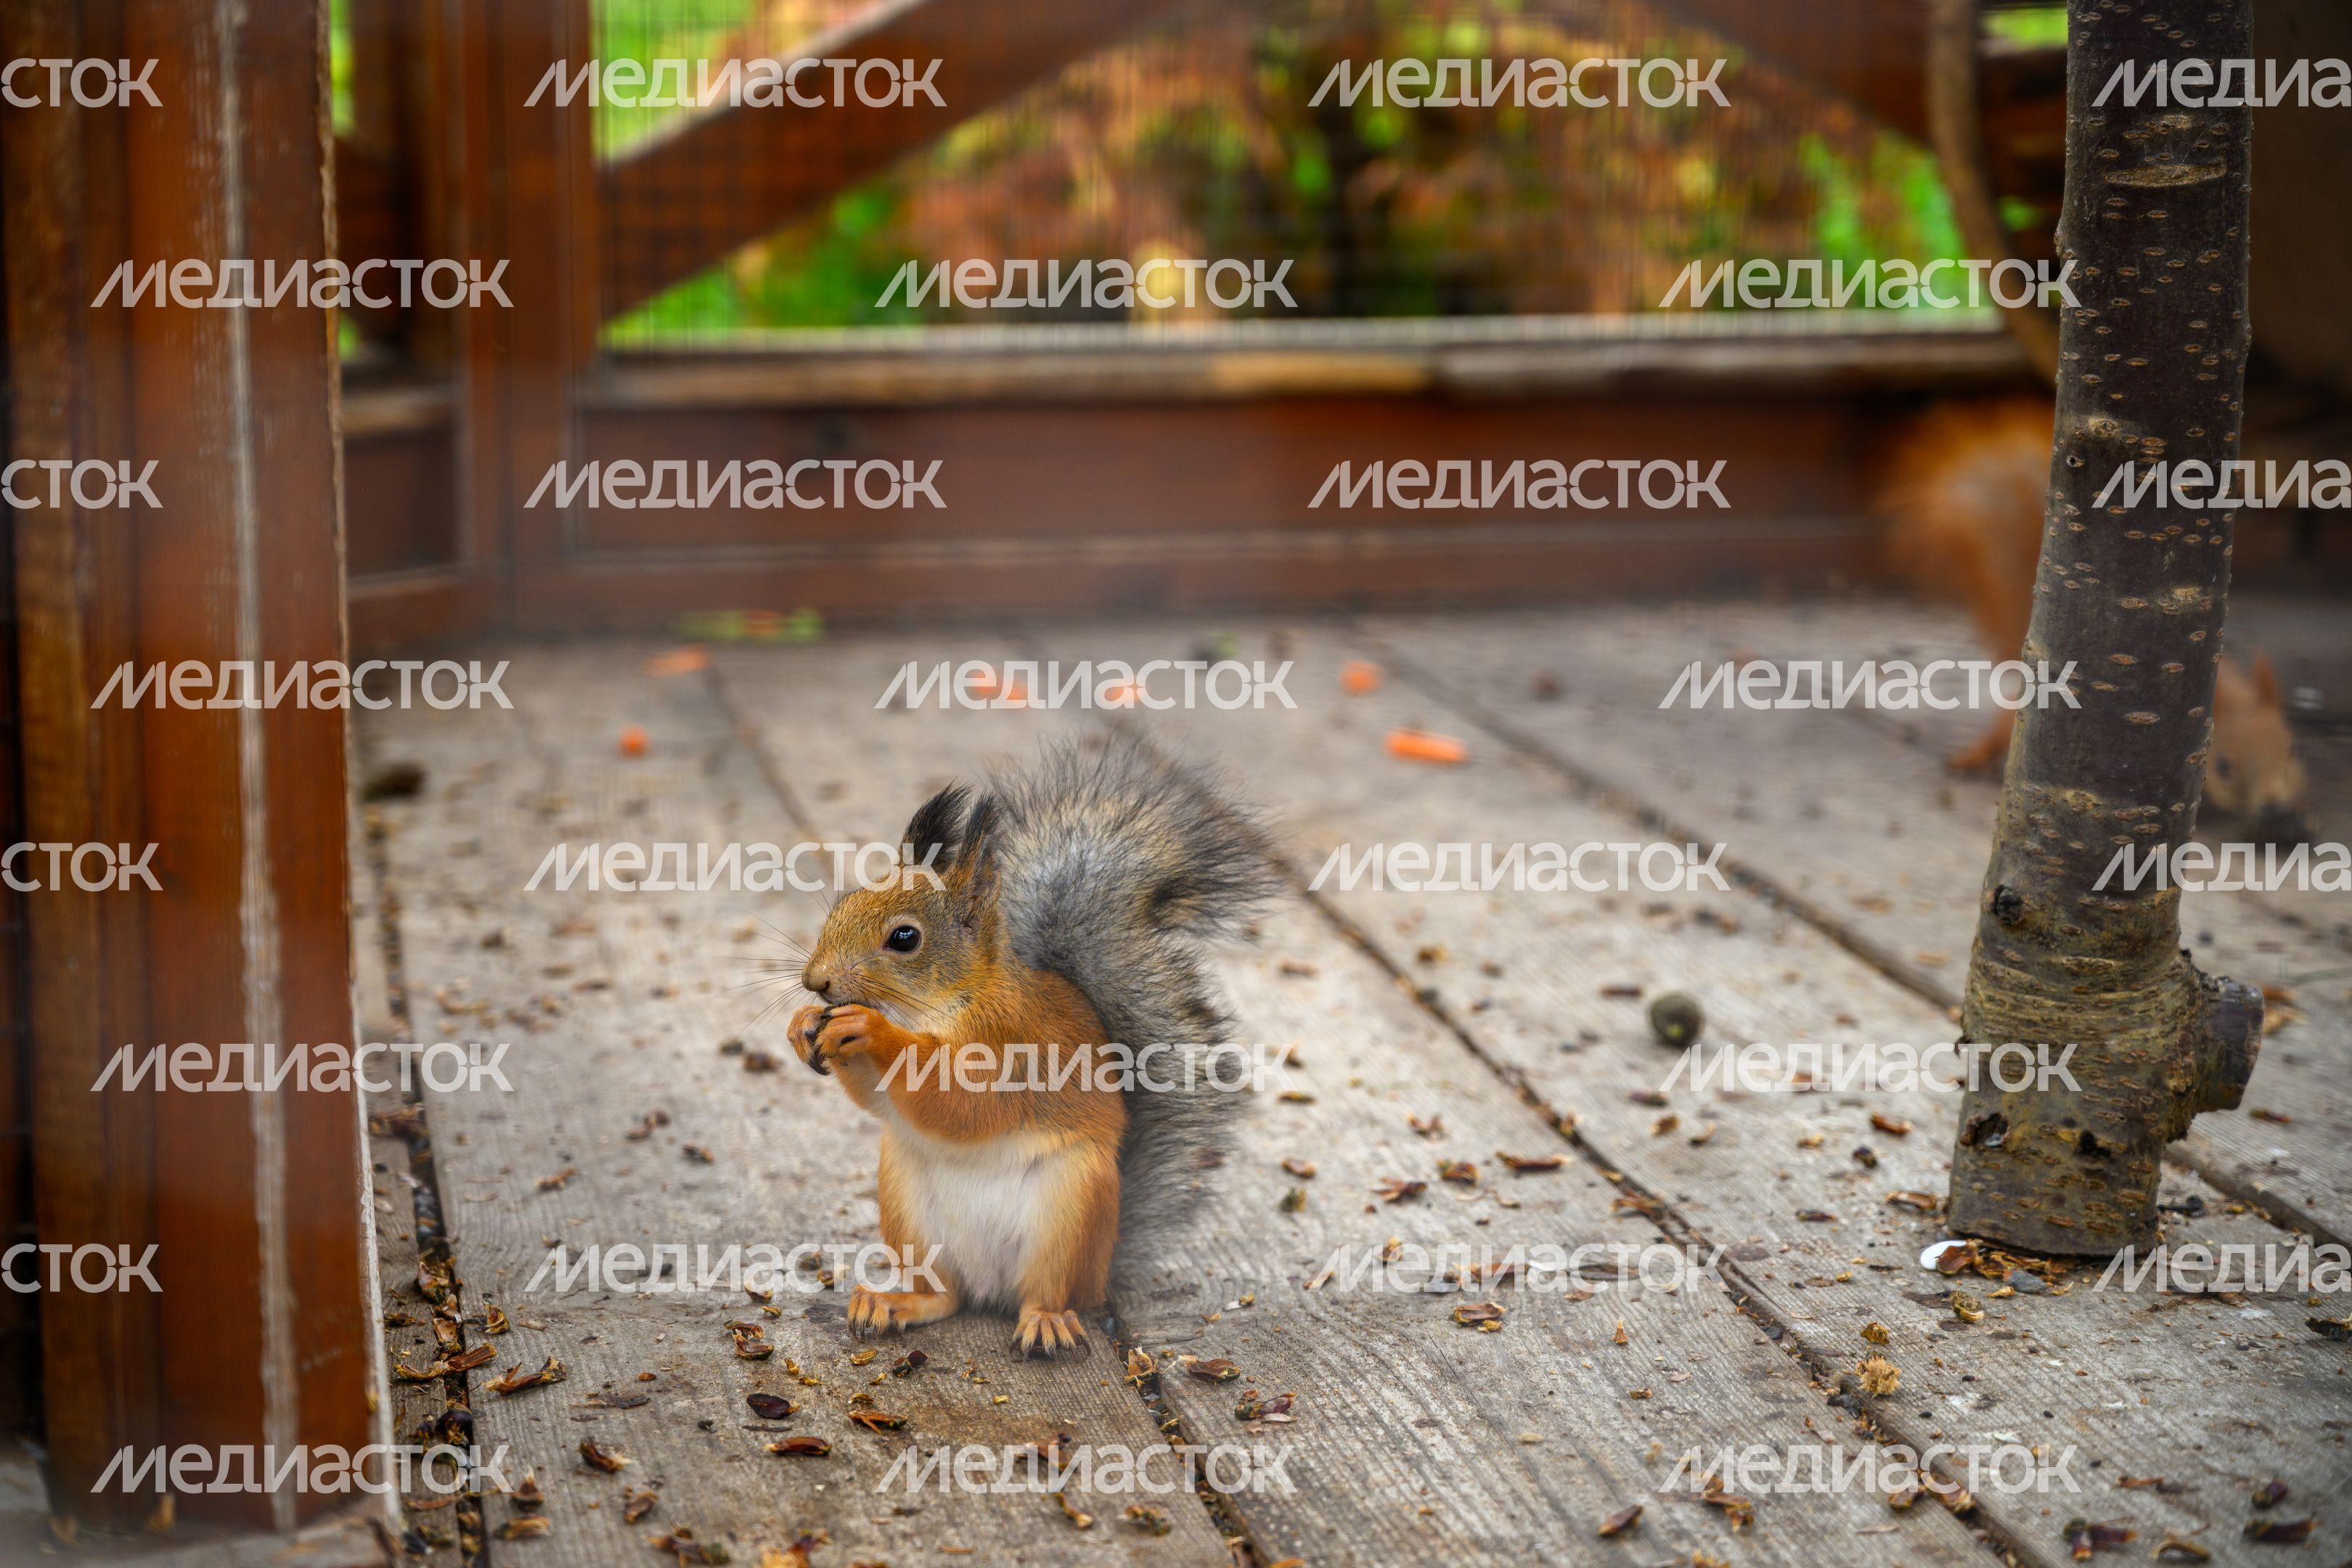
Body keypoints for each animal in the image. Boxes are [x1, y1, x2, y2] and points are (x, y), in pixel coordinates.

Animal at [786, 736, 1274, 1356]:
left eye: (904, 938)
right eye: (841, 905)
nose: (815, 981)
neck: (941, 1004)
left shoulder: (1010, 1041)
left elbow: (966, 1106)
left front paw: (874, 1033)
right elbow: (880, 1100)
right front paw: (803, 1024)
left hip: (1071, 1209)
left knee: (1045, 1291)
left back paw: (1046, 1322)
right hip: (908, 1203)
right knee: (946, 1296)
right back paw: (898, 1302)